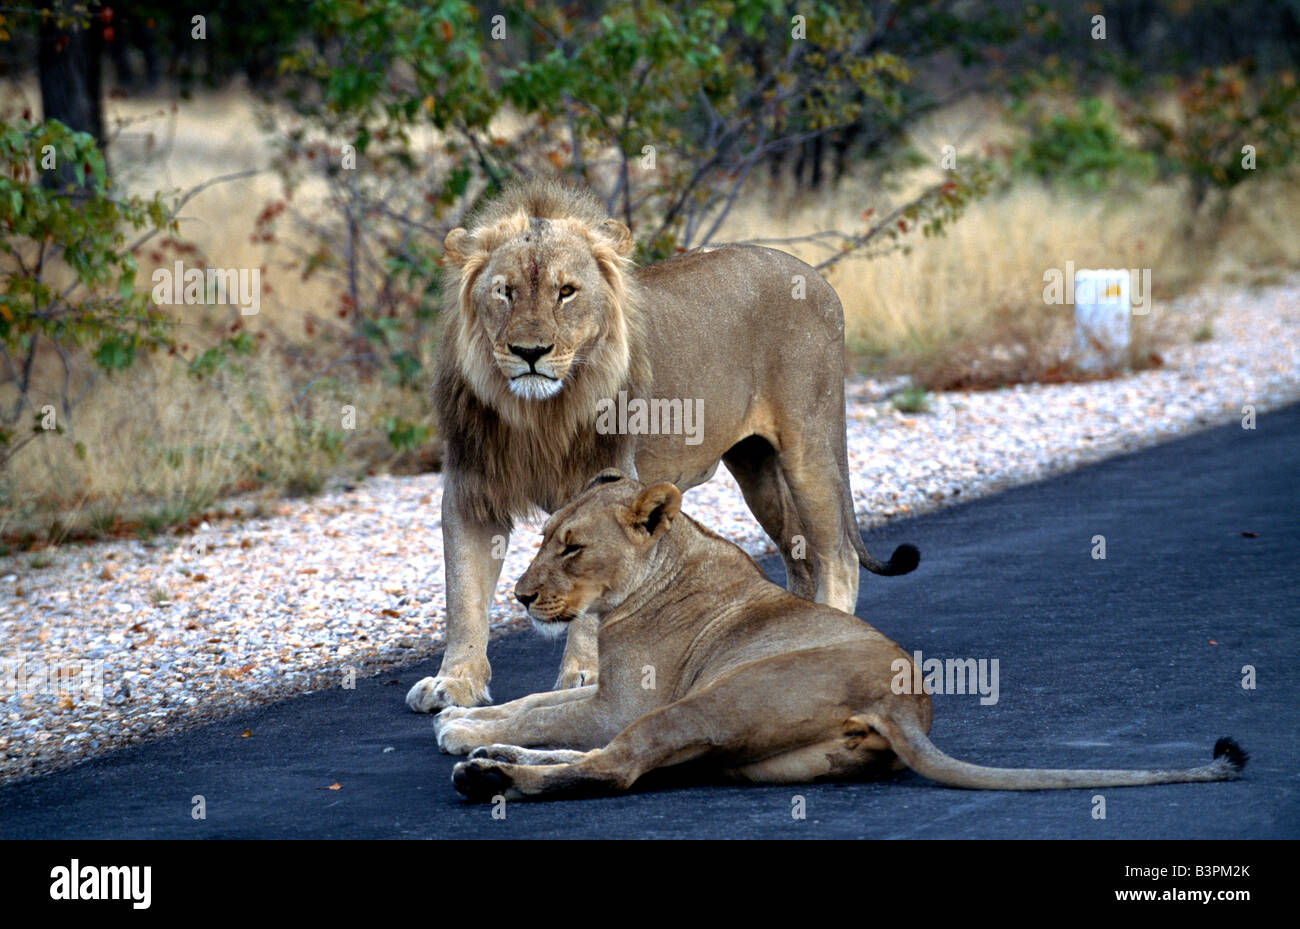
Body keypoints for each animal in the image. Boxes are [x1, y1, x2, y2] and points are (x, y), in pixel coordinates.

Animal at [405, 179, 915, 712]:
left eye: (566, 292)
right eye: (504, 291)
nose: (530, 353)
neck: (536, 415)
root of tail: (815, 277)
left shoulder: (605, 478)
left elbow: (589, 591)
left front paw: (583, 673)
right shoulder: (470, 492)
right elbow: (463, 595)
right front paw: (453, 681)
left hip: (807, 445)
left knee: (837, 555)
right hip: (757, 468)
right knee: (800, 553)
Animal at [436, 475, 1248, 805]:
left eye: (572, 548)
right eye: (543, 538)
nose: (521, 596)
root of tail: (907, 710)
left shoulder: (618, 700)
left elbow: (547, 712)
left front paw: (460, 727)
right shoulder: (606, 699)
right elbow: (536, 705)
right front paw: (469, 722)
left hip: (713, 702)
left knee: (617, 766)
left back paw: (487, 777)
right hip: (740, 756)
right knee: (613, 761)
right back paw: (492, 761)